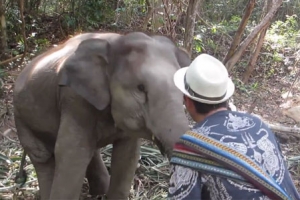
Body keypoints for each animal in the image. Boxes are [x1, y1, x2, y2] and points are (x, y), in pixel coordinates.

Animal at [12, 30, 191, 198]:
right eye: (140, 88)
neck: (117, 41)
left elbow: (127, 157)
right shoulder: (74, 100)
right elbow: (71, 155)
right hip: (22, 120)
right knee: (43, 158)